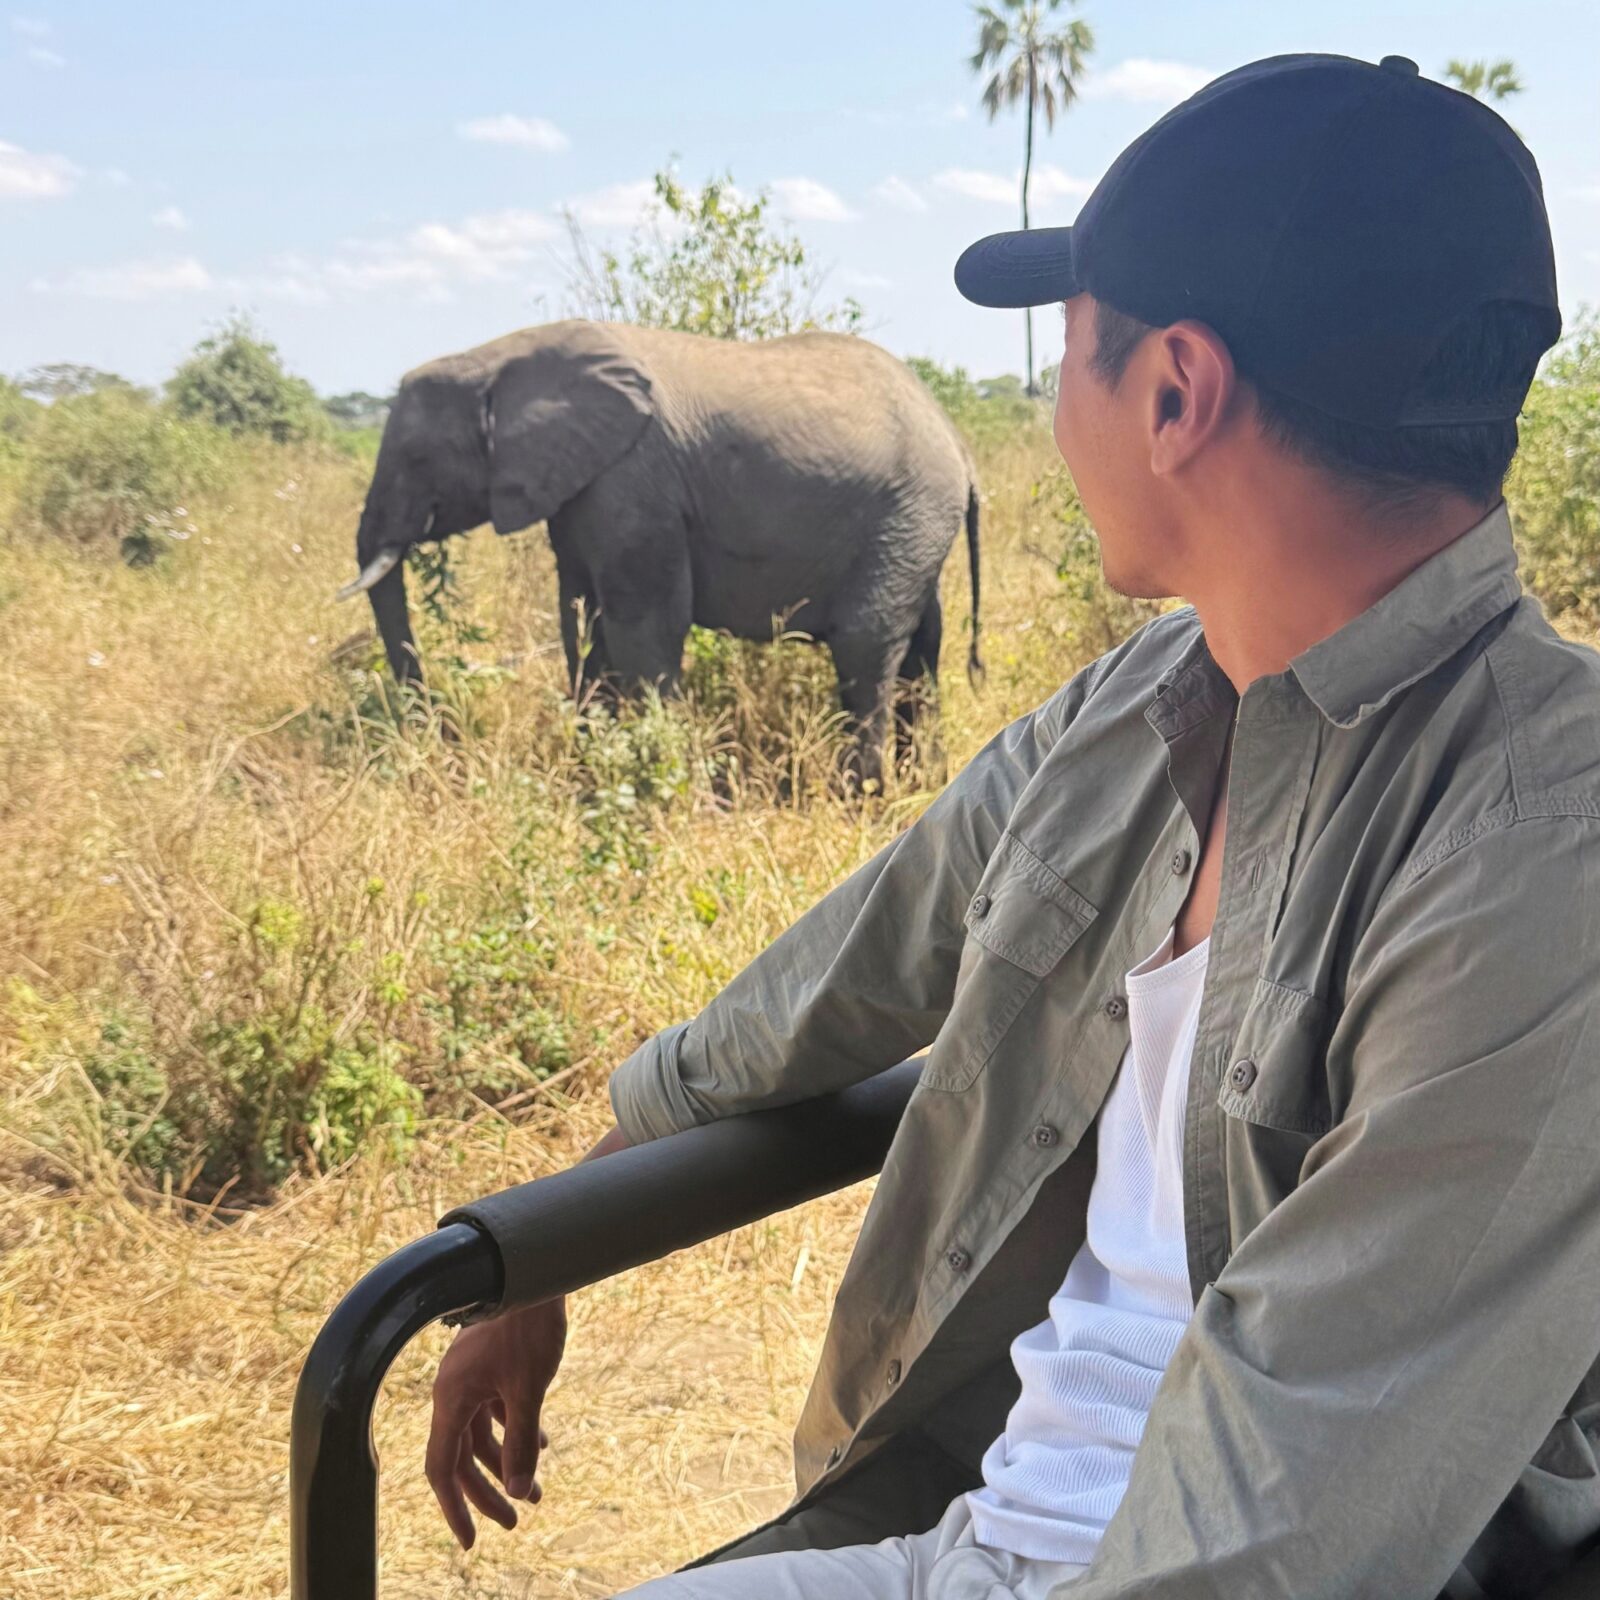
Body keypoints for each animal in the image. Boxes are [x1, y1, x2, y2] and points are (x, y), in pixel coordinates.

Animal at [340, 319, 982, 784]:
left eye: (417, 459)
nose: (442, 745)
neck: (495, 358)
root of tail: (958, 443)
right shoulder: (580, 487)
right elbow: (584, 624)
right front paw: (594, 780)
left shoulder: (632, 481)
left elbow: (642, 630)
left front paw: (673, 789)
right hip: (916, 530)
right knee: (923, 649)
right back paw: (924, 785)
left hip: (910, 512)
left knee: (865, 648)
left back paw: (860, 797)